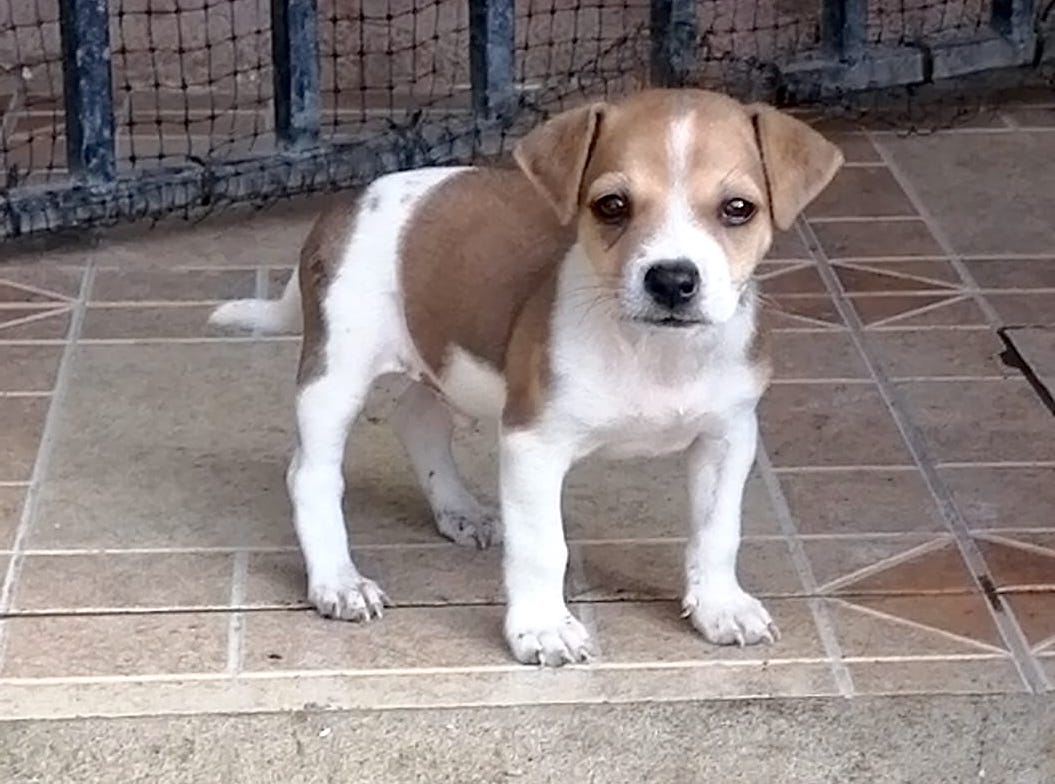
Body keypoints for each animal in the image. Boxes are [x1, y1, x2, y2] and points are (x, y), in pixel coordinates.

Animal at [209, 90, 843, 666]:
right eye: (612, 205)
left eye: (738, 209)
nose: (671, 280)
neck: (655, 352)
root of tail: (348, 203)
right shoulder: (533, 445)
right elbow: (542, 547)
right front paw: (541, 628)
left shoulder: (728, 437)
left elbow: (717, 530)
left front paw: (719, 606)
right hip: (335, 375)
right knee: (312, 477)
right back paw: (337, 581)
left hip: (447, 362)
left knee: (416, 417)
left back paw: (458, 510)